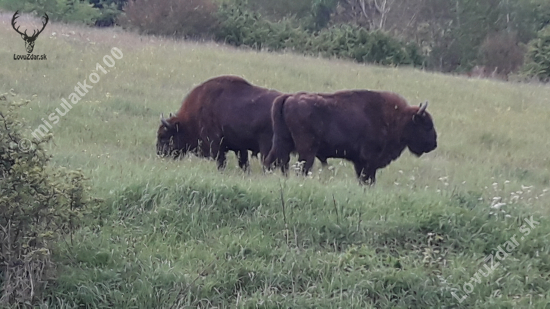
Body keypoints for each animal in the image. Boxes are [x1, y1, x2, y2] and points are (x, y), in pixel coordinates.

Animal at [264, 90, 440, 184]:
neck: (396, 119)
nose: (433, 144)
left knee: (272, 161)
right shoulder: (369, 161)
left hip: (282, 143)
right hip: (306, 150)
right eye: (426, 125)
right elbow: (368, 179)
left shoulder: (360, 162)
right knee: (301, 168)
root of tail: (288, 97)